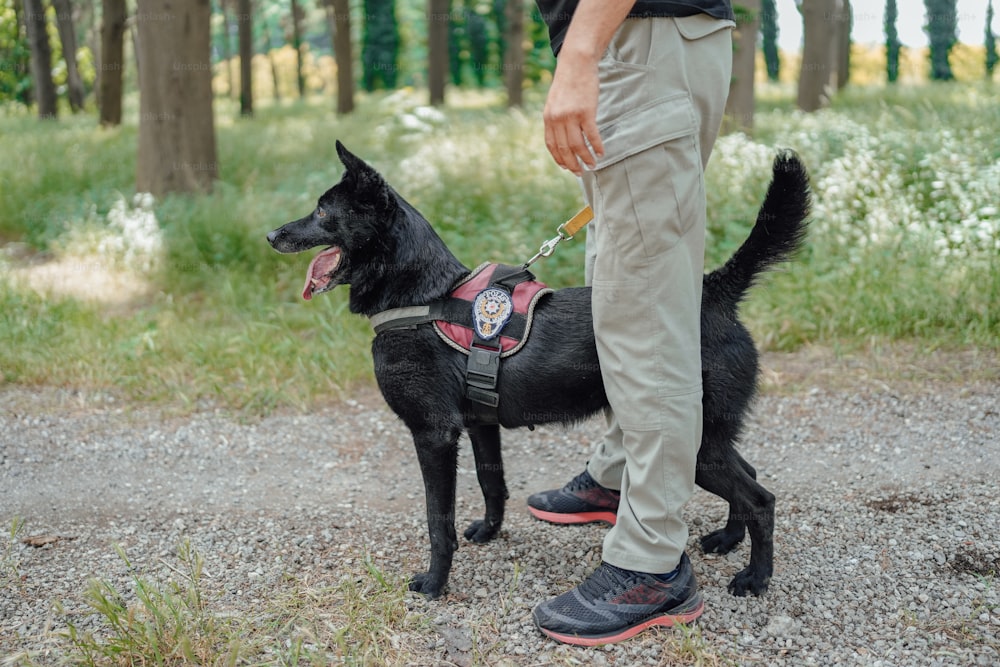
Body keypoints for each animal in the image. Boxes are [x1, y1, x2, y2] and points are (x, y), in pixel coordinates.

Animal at [268, 141, 812, 600]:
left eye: (323, 211)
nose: (271, 234)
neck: (425, 297)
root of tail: (714, 291)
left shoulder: (433, 435)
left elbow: (437, 519)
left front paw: (435, 583)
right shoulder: (479, 426)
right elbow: (492, 484)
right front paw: (489, 532)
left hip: (693, 442)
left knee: (761, 498)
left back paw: (756, 578)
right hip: (711, 436)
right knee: (749, 476)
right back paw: (726, 539)